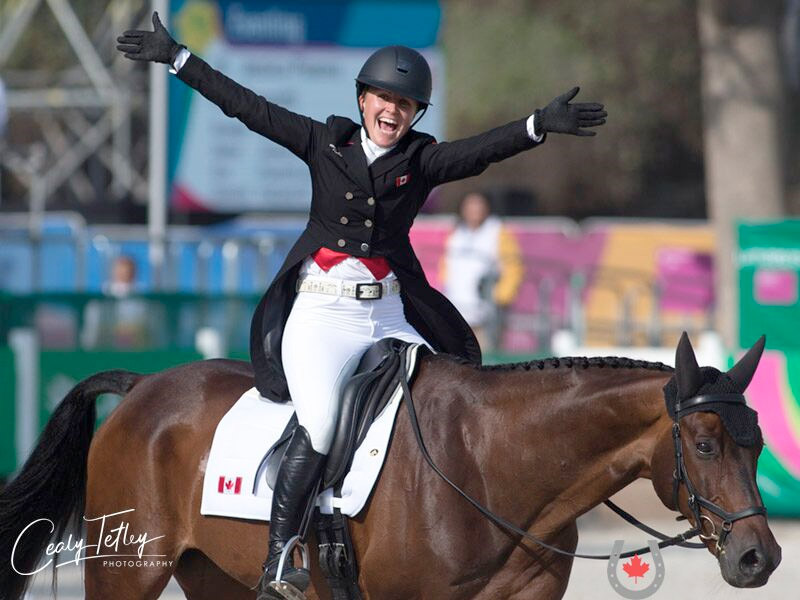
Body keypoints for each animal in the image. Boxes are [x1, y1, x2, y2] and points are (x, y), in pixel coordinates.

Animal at [0, 336, 780, 596]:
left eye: (760, 446)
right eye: (705, 445)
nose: (758, 557)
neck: (495, 464)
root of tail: (142, 390)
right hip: (126, 571)